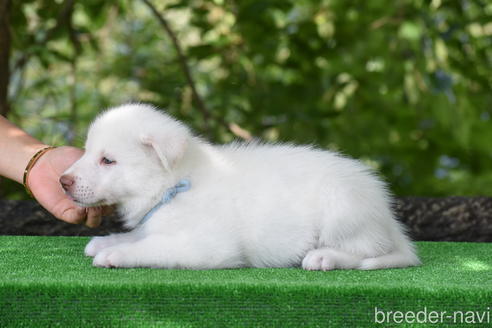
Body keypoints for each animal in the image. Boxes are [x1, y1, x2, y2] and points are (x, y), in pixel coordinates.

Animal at [61, 104, 420, 270]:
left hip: (342, 208)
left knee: (368, 251)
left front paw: (116, 253)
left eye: (108, 160)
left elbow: (154, 247)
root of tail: (384, 213)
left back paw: (324, 257)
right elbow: (142, 235)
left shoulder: (205, 246)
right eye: (87, 152)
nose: (63, 181)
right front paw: (108, 241)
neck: (175, 184)